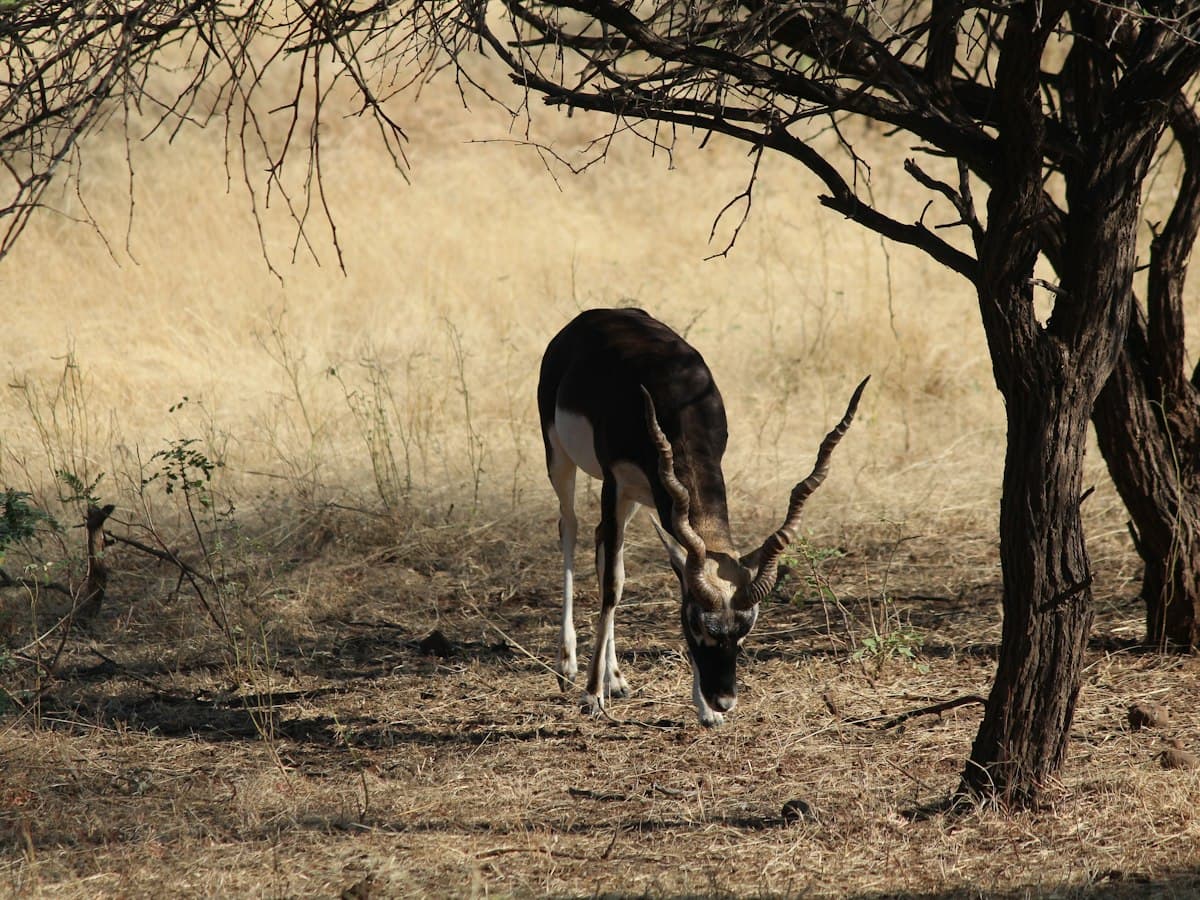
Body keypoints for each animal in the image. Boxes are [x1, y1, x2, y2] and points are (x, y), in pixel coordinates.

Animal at [537, 308, 868, 726]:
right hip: (561, 457)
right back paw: (567, 667)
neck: (674, 400)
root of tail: (595, 315)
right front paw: (592, 696)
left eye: (744, 632)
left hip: (635, 496)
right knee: (571, 528)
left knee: (600, 539)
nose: (724, 698)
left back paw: (616, 678)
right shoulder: (614, 480)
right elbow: (612, 586)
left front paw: (706, 711)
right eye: (696, 625)